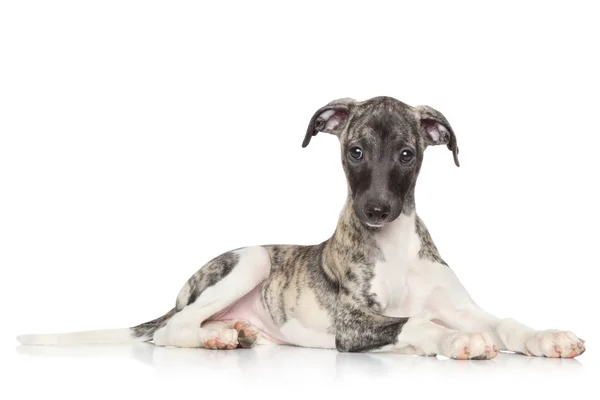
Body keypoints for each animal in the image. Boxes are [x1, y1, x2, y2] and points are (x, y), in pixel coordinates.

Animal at [18, 96, 584, 360]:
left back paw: (233, 332)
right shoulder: (352, 326)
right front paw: (459, 342)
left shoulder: (461, 305)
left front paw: (549, 337)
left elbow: (503, 321)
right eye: (355, 152)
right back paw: (216, 335)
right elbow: (417, 324)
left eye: (407, 154)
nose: (376, 210)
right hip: (250, 260)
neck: (396, 251)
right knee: (168, 331)